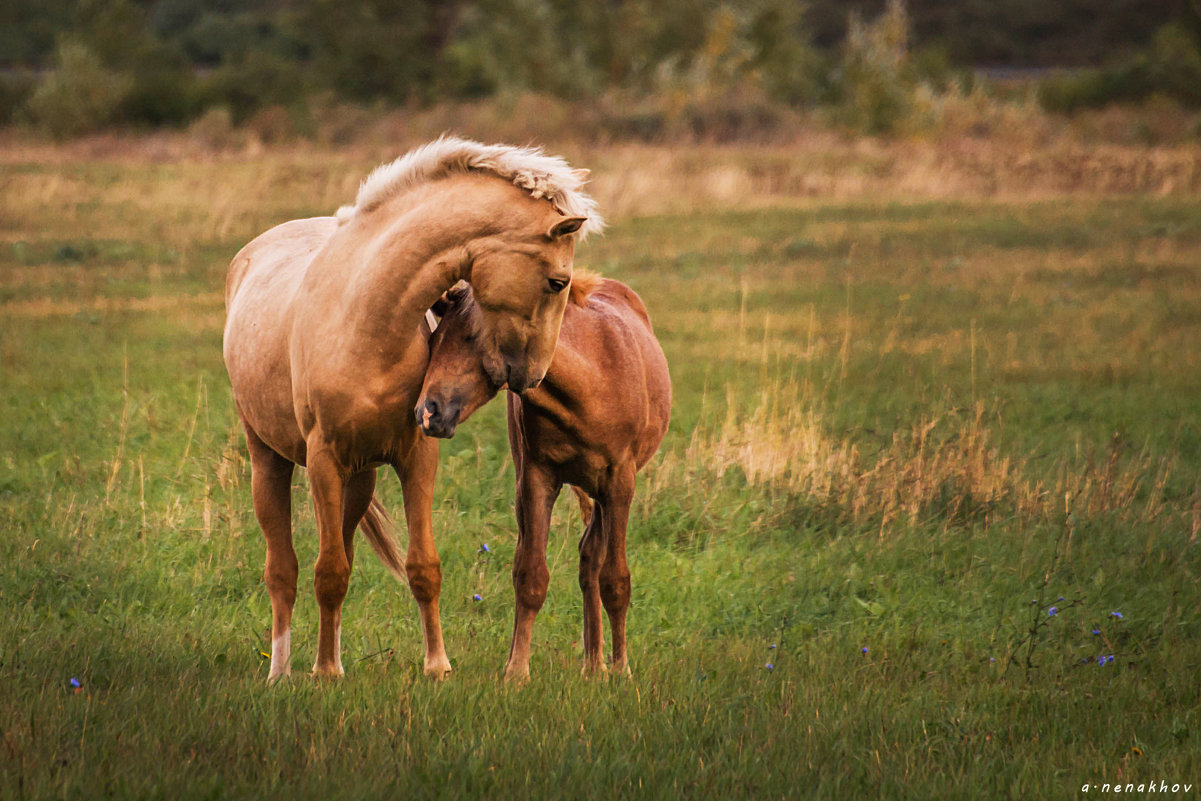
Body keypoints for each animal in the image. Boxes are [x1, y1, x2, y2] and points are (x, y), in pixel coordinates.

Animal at [223, 139, 598, 682]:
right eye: (556, 282)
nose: (533, 376)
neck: (366, 318)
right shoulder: (323, 461)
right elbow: (326, 573)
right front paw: (324, 677)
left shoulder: (417, 455)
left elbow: (421, 567)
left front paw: (436, 666)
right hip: (268, 461)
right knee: (284, 571)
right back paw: (283, 670)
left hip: (359, 479)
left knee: (343, 554)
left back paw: (329, 657)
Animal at [415, 272, 672, 682]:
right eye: (435, 340)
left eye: (470, 338)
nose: (427, 411)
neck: (590, 381)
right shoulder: (537, 481)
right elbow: (531, 576)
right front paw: (516, 671)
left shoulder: (619, 485)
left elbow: (616, 581)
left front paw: (622, 670)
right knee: (585, 559)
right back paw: (592, 662)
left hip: (603, 492)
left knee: (593, 560)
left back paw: (601, 663)